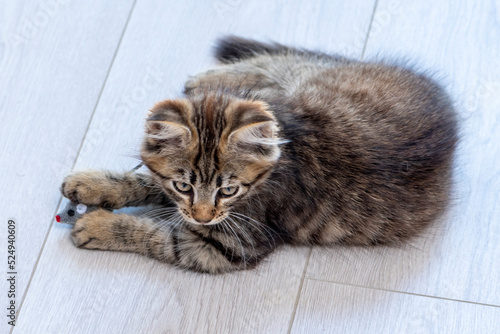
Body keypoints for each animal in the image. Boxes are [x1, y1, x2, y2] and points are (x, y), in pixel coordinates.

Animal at [60, 36, 458, 274]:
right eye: (184, 186)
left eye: (229, 190)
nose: (203, 216)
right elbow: (146, 182)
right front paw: (94, 184)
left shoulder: (224, 246)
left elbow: (153, 235)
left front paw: (98, 225)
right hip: (305, 85)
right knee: (281, 64)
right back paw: (212, 81)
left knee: (283, 62)